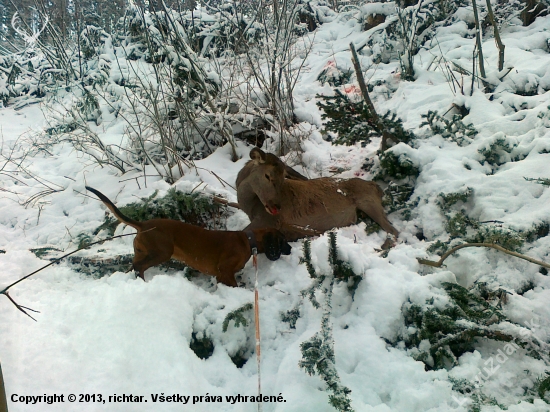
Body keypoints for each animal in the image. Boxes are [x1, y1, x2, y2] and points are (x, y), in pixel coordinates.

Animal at [85, 187, 294, 286]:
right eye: (282, 240)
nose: (291, 249)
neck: (248, 241)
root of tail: (143, 225)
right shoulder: (225, 271)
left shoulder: (221, 275)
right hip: (162, 252)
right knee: (139, 267)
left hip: (142, 252)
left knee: (133, 266)